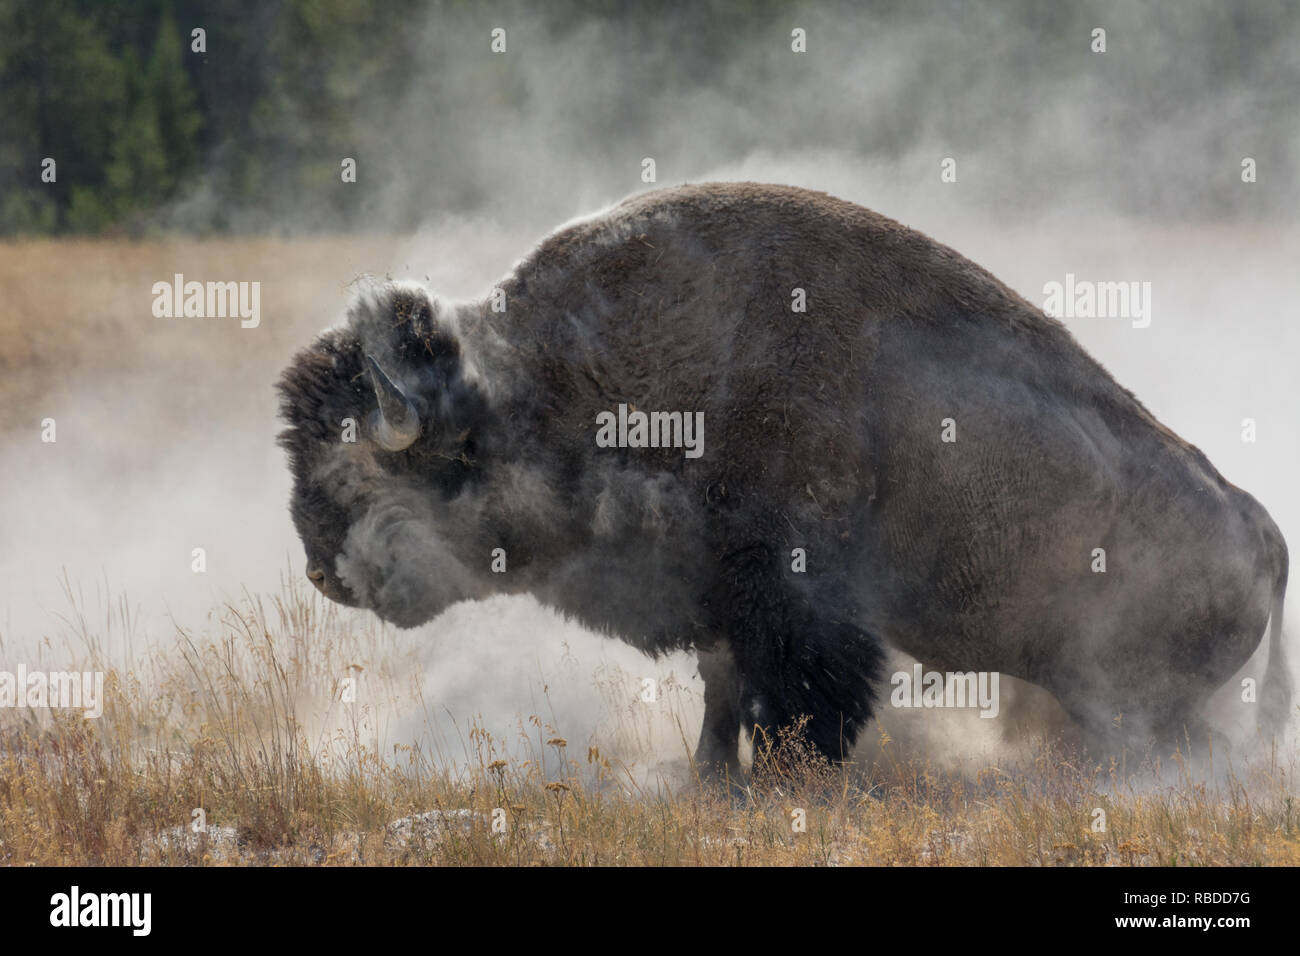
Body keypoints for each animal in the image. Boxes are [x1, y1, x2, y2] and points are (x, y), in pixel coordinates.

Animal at [276, 180, 1289, 780]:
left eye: (360, 473)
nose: (323, 573)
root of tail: (1263, 530)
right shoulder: (721, 602)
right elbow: (723, 698)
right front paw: (708, 784)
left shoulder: (793, 603)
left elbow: (797, 701)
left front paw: (784, 786)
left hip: (1137, 692)